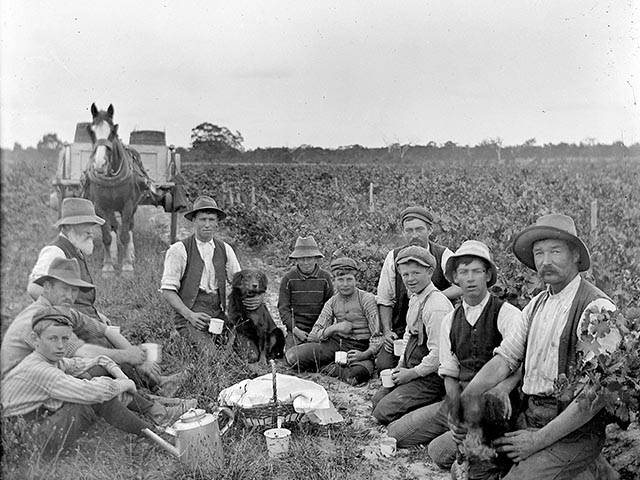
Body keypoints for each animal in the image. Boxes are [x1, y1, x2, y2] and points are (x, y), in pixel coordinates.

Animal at [82, 102, 146, 272]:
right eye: (91, 131)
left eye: (112, 131)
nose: (100, 164)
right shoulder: (100, 206)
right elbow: (106, 236)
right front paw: (108, 266)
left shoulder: (128, 205)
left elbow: (125, 235)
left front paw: (127, 266)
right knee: (113, 225)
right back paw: (115, 254)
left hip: (133, 205)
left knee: (129, 226)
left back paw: (130, 253)